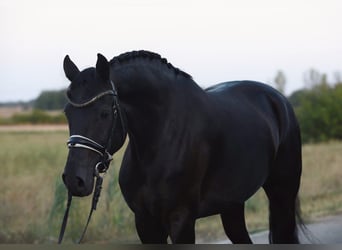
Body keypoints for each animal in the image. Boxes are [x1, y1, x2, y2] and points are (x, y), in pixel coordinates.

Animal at [61, 50, 302, 244]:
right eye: (67, 113)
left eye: (103, 113)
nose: (74, 179)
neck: (161, 141)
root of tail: (279, 100)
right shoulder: (145, 222)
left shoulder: (181, 219)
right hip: (232, 206)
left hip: (283, 196)